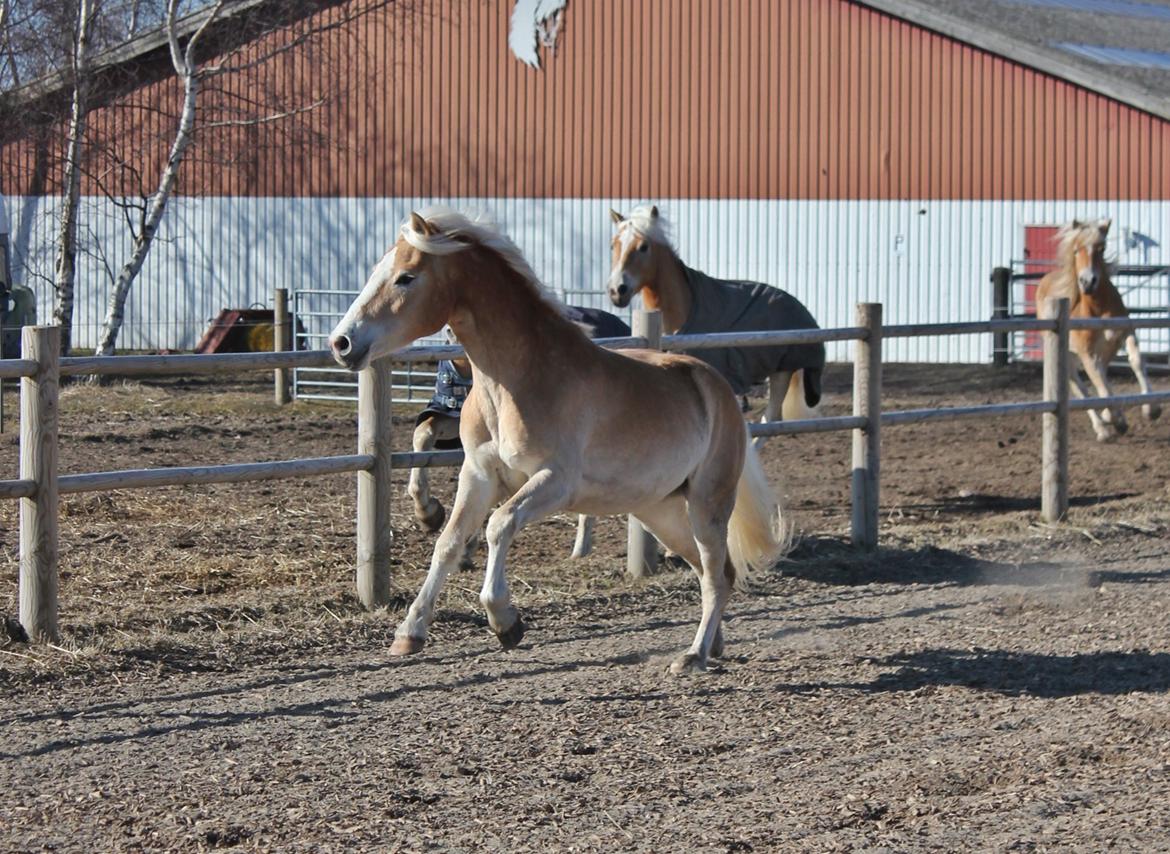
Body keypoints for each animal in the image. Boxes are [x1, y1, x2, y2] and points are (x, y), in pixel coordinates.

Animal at [1038, 216, 1155, 442]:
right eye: (1076, 250)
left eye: (1101, 248)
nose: (1088, 282)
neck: (1098, 308)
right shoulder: (1087, 353)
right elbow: (1098, 383)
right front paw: (1116, 419)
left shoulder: (1125, 334)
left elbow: (1135, 360)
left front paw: (1151, 410)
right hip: (1068, 355)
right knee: (1079, 386)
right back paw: (1102, 428)